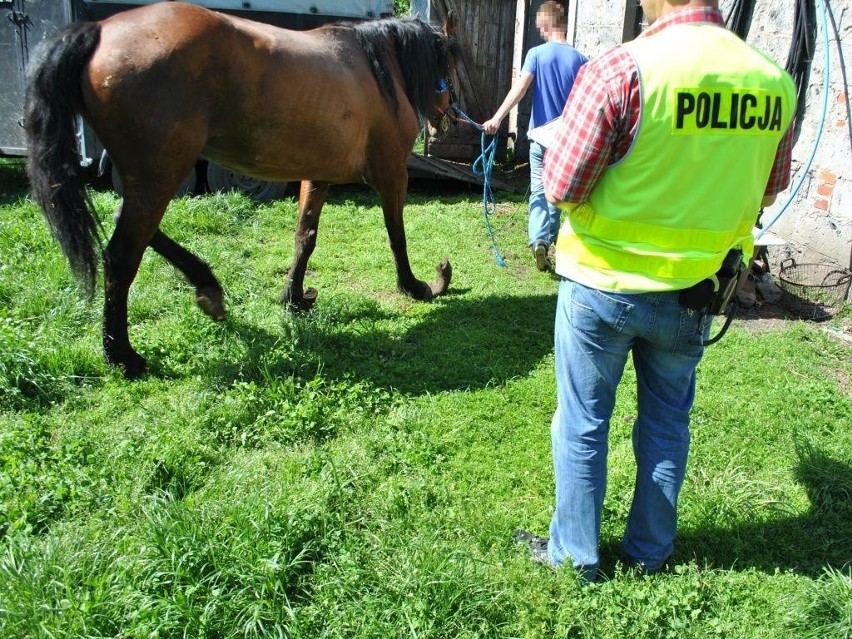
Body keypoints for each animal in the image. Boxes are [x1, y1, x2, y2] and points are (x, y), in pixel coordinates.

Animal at [23, 2, 460, 378]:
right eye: (450, 64)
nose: (448, 117)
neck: (376, 69)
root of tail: (98, 32)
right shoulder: (392, 173)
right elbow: (396, 236)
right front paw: (419, 286)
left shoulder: (316, 177)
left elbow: (305, 236)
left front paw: (294, 298)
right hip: (161, 176)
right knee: (122, 256)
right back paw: (123, 356)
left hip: (150, 179)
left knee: (133, 228)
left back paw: (207, 289)